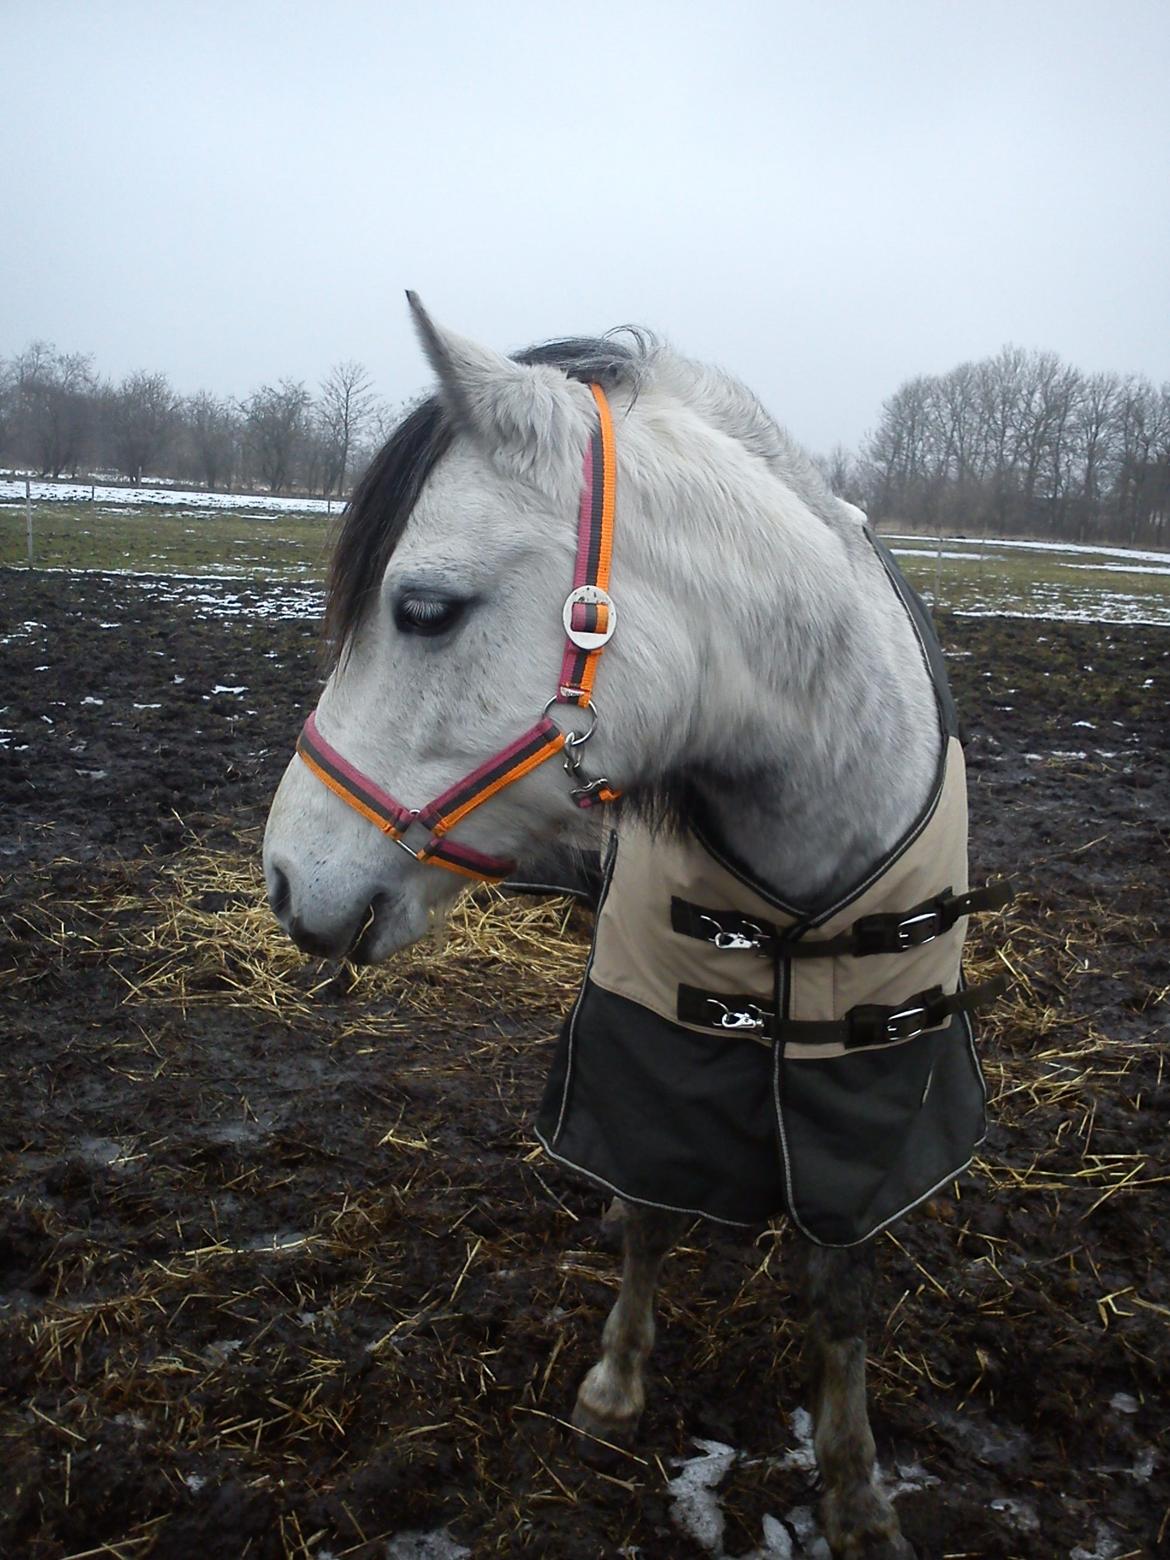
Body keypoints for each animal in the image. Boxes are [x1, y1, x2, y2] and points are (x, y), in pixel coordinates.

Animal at [263, 295, 1005, 1558]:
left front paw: (856, 1491)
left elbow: (841, 1289)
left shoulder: (874, 1084)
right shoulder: (655, 1036)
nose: (281, 876)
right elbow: (650, 1211)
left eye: (423, 609)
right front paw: (615, 1386)